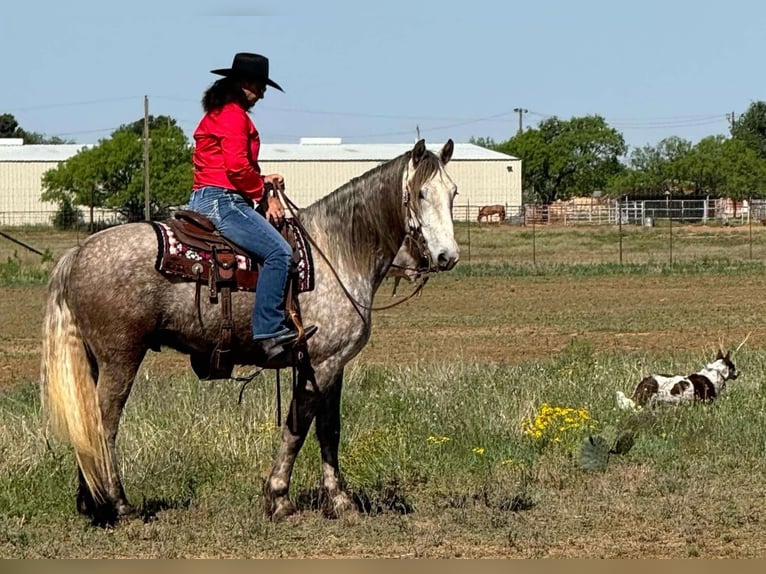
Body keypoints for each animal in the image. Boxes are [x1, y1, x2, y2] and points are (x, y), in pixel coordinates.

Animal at [41, 139, 459, 525]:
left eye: (453, 192)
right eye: (420, 193)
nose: (447, 257)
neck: (337, 251)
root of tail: (78, 253)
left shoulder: (334, 365)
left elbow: (330, 430)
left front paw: (341, 502)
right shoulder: (318, 363)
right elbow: (297, 428)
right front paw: (279, 499)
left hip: (97, 360)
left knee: (87, 424)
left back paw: (93, 503)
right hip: (121, 358)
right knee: (104, 423)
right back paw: (119, 505)